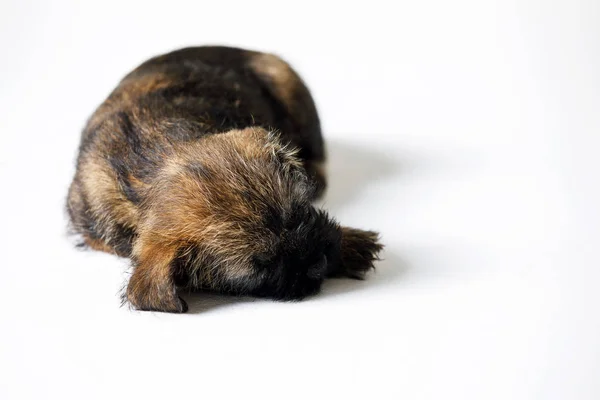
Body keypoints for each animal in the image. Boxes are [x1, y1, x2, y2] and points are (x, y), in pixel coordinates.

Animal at [67, 44, 384, 312]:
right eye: (261, 268)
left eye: (300, 213)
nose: (320, 262)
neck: (148, 164)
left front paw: (353, 244)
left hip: (289, 85)